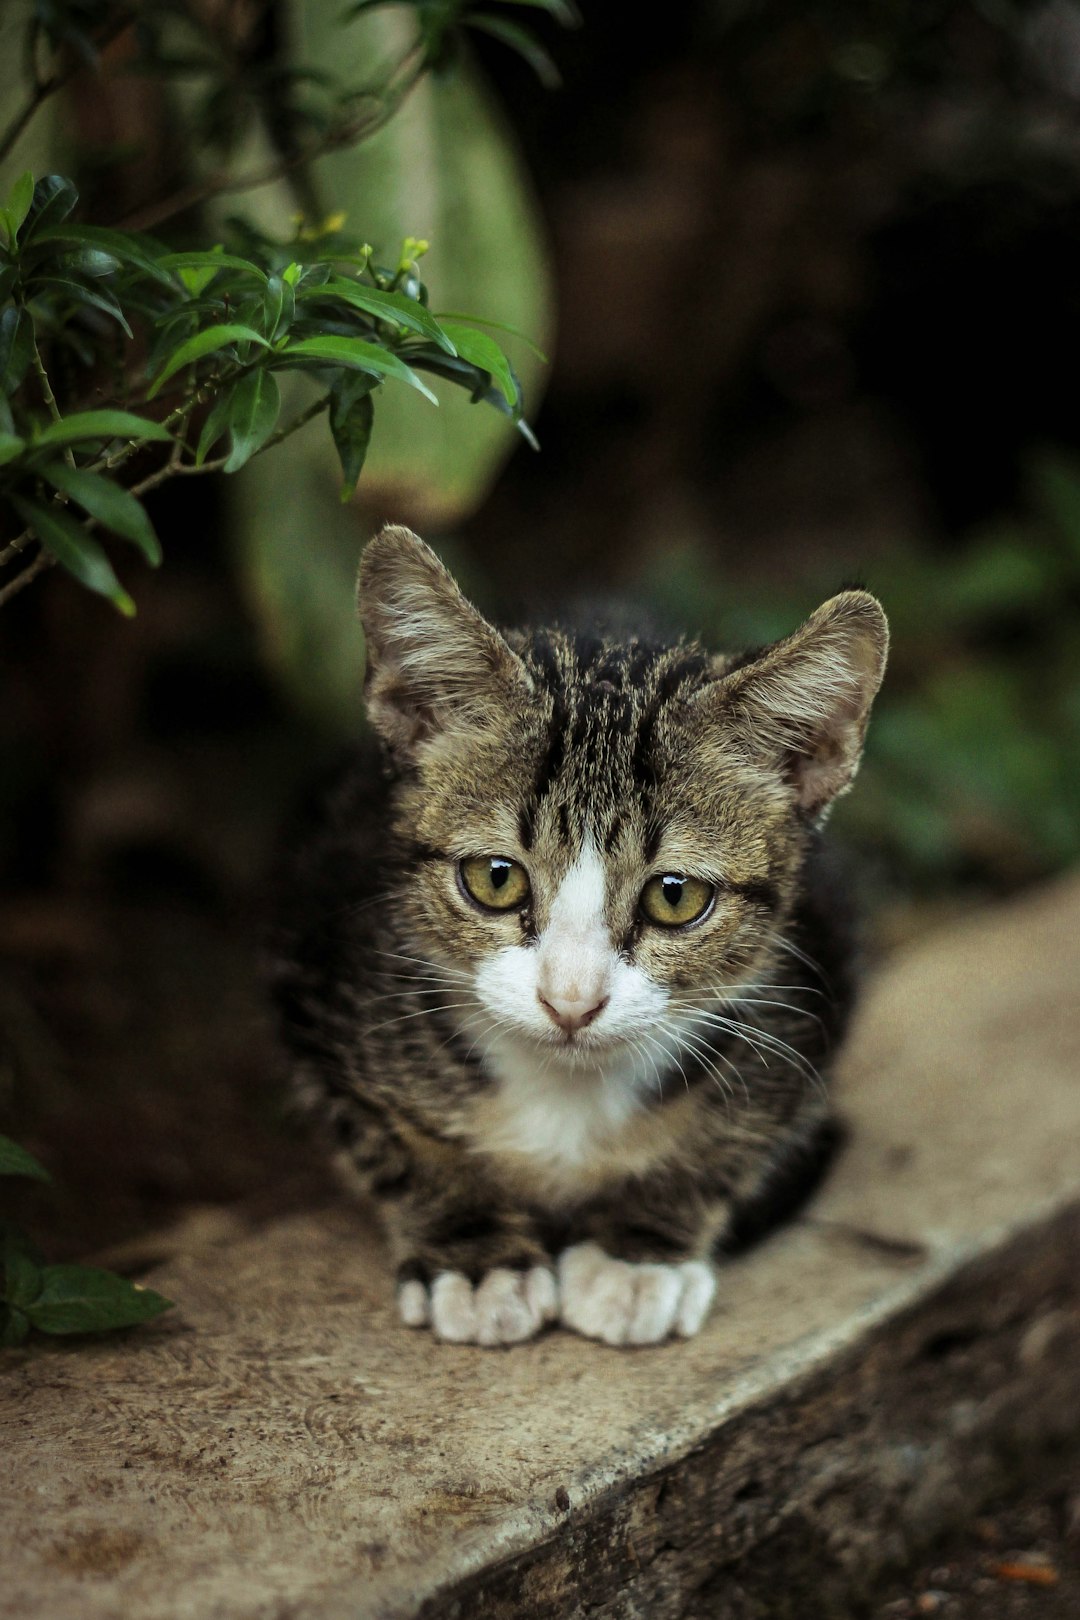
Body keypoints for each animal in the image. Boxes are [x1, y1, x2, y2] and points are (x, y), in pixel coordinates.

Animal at [268, 524, 887, 1347]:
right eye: (495, 878)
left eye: (675, 897)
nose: (570, 1001)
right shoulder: (317, 964)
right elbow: (387, 1139)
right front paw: (475, 1255)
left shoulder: (814, 985)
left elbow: (734, 1143)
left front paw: (637, 1251)